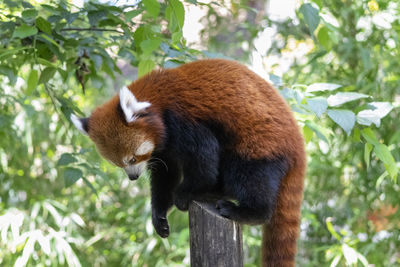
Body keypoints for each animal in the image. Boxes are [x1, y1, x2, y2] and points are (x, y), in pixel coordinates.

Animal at [71, 59, 306, 267]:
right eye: (119, 165)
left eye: (133, 158)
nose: (133, 177)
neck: (157, 100)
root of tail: (297, 142)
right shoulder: (164, 147)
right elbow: (165, 176)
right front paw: (159, 215)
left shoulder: (184, 120)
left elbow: (204, 162)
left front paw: (183, 194)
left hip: (259, 144)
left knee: (249, 177)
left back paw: (243, 209)